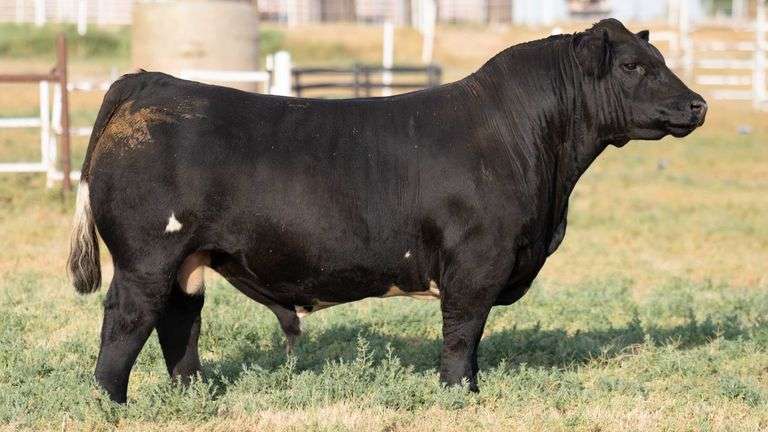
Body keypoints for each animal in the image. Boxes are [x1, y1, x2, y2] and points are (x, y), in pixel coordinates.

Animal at [68, 19, 707, 403]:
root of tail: (150, 83)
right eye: (633, 66)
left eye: (658, 57)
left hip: (188, 260)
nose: (698, 104)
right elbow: (462, 336)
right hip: (146, 256)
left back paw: (193, 396)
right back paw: (111, 403)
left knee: (179, 320)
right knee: (126, 320)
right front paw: (459, 396)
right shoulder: (476, 263)